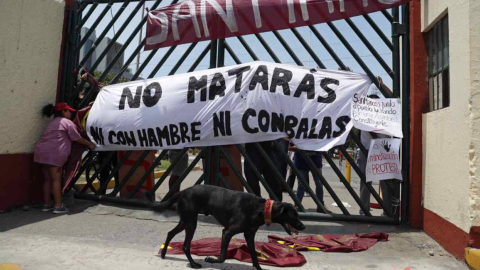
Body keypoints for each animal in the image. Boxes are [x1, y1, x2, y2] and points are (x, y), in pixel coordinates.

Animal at [148, 185, 306, 268]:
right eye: (293, 216)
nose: (303, 226)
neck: (260, 208)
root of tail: (183, 190)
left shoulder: (249, 234)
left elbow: (254, 254)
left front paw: (259, 268)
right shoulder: (227, 232)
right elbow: (223, 256)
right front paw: (211, 259)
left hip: (186, 221)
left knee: (170, 233)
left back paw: (164, 253)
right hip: (191, 223)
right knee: (186, 245)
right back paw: (193, 264)